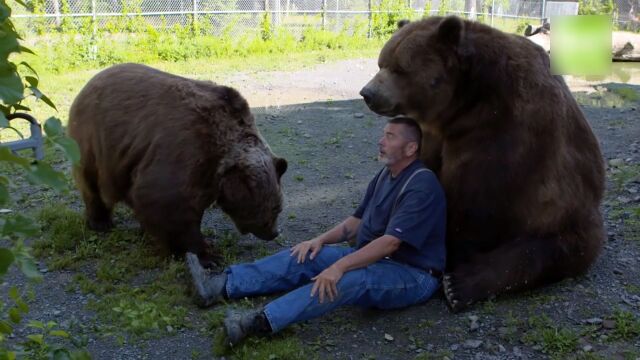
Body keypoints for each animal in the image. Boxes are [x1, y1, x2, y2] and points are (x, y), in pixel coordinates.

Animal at [68, 63, 288, 266]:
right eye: (275, 208)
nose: (274, 232)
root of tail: (89, 82)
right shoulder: (186, 149)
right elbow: (168, 203)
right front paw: (207, 254)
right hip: (93, 140)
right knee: (92, 185)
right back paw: (101, 222)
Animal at [360, 16, 604, 312]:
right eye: (381, 62)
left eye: (400, 68)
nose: (368, 93)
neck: (464, 104)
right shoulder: (433, 132)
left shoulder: (501, 133)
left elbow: (472, 203)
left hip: (567, 216)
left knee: (540, 253)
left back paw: (460, 286)